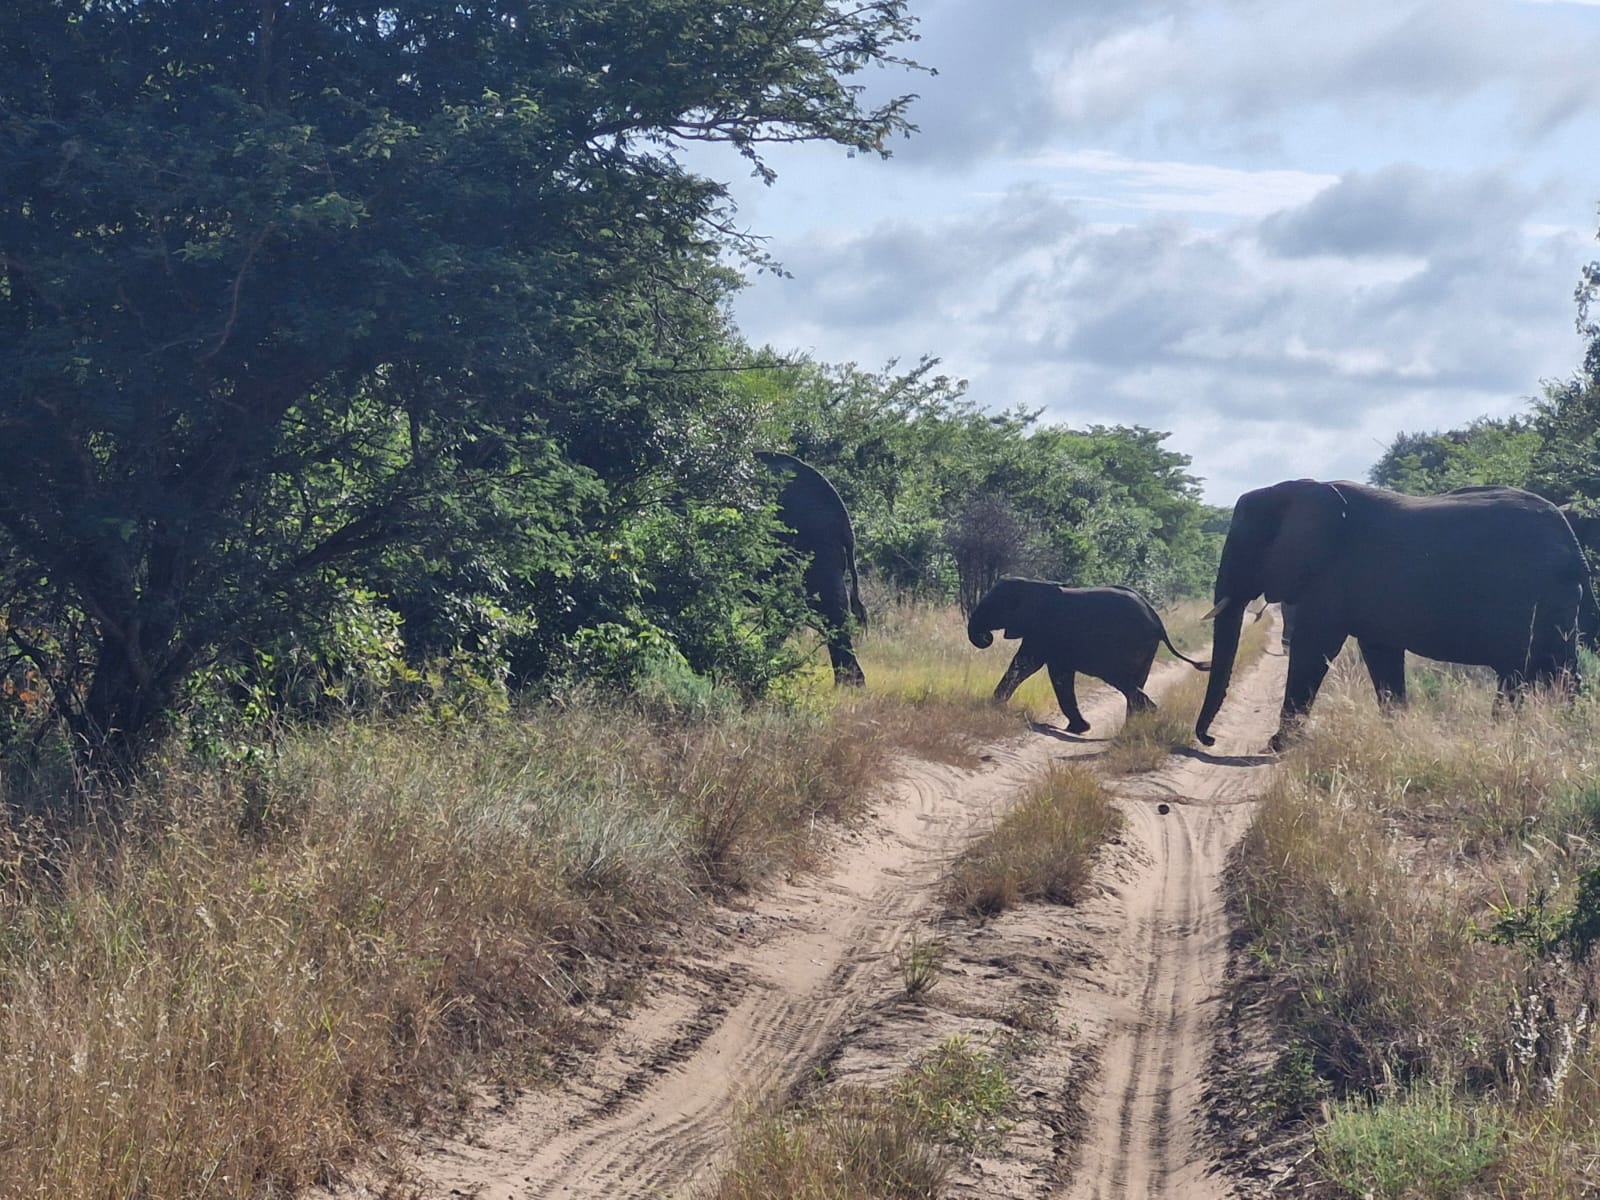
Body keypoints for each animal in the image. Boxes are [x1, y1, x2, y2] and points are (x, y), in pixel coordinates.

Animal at [967, 577, 1210, 733]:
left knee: (1122, 680)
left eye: (991, 607)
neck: (1031, 584)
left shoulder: (1044, 630)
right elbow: (1058, 674)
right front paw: (1080, 729)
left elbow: (1028, 665)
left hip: (1126, 645)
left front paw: (993, 705)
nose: (986, 636)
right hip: (1146, 648)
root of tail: (1157, 620)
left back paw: (1149, 714)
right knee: (1136, 681)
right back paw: (1131, 728)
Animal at [1195, 480, 1599, 752]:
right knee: (1553, 672)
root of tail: (1575, 547)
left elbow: (1313, 649)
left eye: (1243, 544)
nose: (1210, 740)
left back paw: (1506, 735)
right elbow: (1380, 654)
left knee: (1525, 671)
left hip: (1536, 601)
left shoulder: (1331, 577)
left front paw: (1277, 746)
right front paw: (1396, 733)